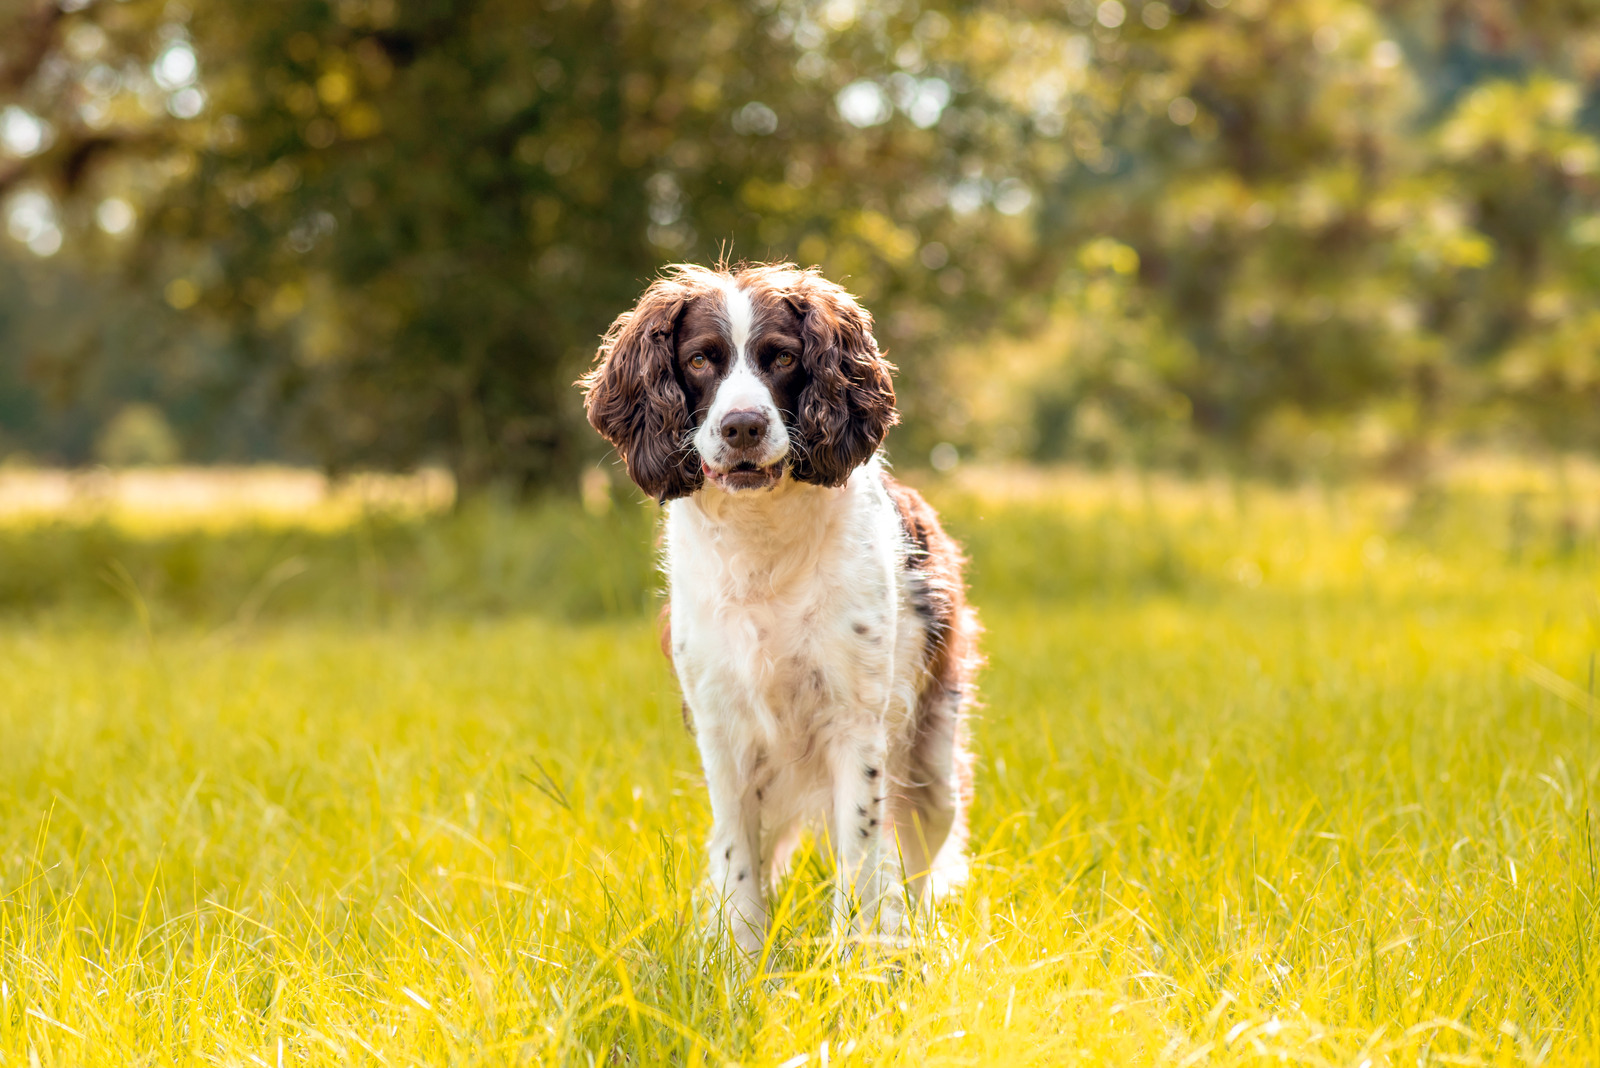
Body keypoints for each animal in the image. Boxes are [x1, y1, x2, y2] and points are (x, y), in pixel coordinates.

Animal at [576, 260, 972, 952]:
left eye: (783, 357)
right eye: (700, 360)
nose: (743, 427)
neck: (761, 542)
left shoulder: (855, 723)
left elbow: (861, 857)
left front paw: (852, 957)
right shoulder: (722, 724)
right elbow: (739, 858)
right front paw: (738, 957)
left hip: (934, 765)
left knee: (916, 864)